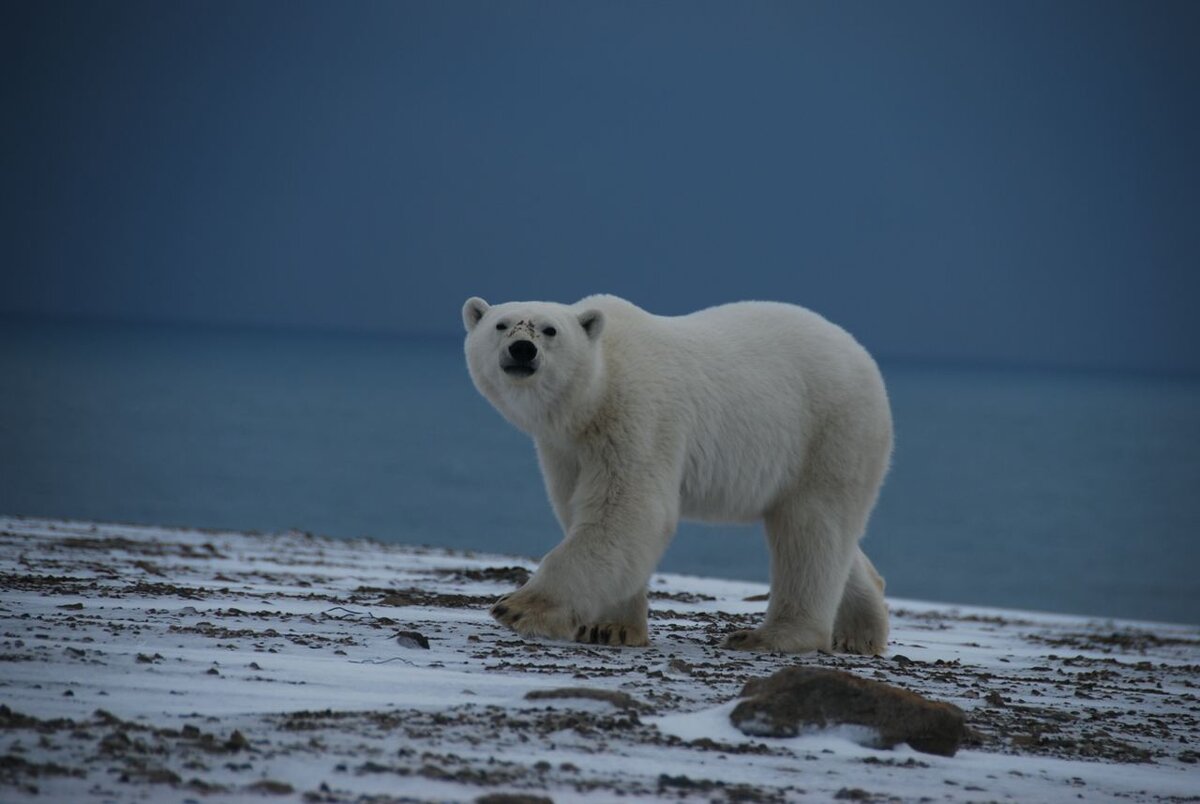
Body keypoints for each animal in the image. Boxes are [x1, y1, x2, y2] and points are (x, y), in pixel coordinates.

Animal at [463, 296, 897, 652]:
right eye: (501, 324)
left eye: (550, 330)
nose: (522, 349)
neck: (594, 394)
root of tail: (863, 356)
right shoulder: (566, 448)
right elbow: (582, 511)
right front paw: (610, 628)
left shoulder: (637, 416)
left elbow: (628, 513)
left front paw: (517, 606)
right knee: (832, 538)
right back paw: (860, 631)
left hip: (829, 430)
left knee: (811, 530)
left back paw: (771, 636)